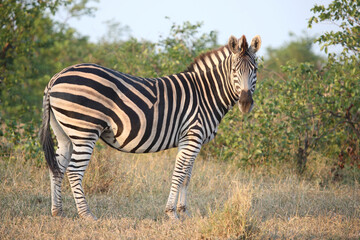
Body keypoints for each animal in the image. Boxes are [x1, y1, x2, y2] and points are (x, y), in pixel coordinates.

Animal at [39, 34, 262, 220]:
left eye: (255, 70)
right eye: (234, 71)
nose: (245, 103)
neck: (205, 93)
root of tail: (55, 78)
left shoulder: (190, 140)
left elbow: (187, 177)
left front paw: (184, 212)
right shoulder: (192, 135)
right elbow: (179, 174)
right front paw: (172, 213)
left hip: (65, 133)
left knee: (57, 167)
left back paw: (57, 212)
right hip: (84, 131)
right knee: (74, 171)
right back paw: (86, 215)